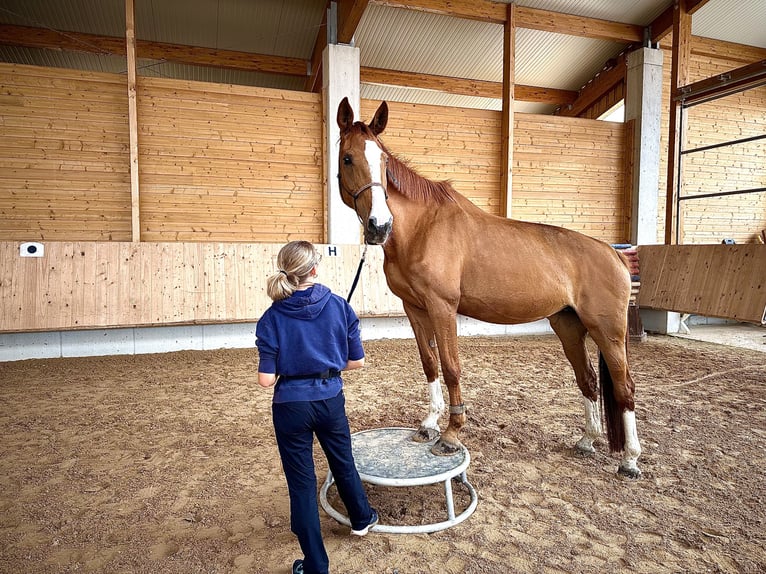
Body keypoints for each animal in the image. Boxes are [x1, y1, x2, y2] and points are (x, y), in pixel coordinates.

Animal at [336, 97, 642, 478]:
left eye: (384, 162)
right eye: (348, 158)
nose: (380, 225)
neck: (422, 228)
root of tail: (615, 256)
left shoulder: (442, 307)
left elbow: (451, 367)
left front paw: (451, 434)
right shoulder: (415, 308)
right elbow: (430, 364)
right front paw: (429, 424)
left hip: (608, 331)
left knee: (624, 387)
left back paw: (630, 460)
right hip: (569, 326)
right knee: (588, 380)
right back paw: (587, 440)